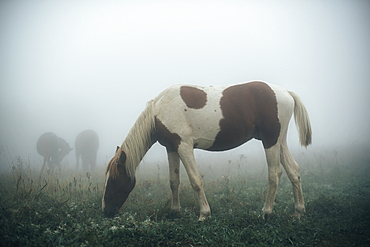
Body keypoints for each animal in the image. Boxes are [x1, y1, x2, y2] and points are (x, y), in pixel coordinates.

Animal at [102, 80, 312, 220]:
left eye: (114, 180)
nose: (105, 210)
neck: (159, 110)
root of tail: (286, 93)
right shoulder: (171, 148)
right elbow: (174, 181)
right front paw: (175, 211)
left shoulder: (184, 146)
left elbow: (195, 180)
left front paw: (204, 214)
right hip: (279, 141)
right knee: (294, 171)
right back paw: (299, 211)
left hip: (270, 141)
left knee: (274, 174)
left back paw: (266, 212)